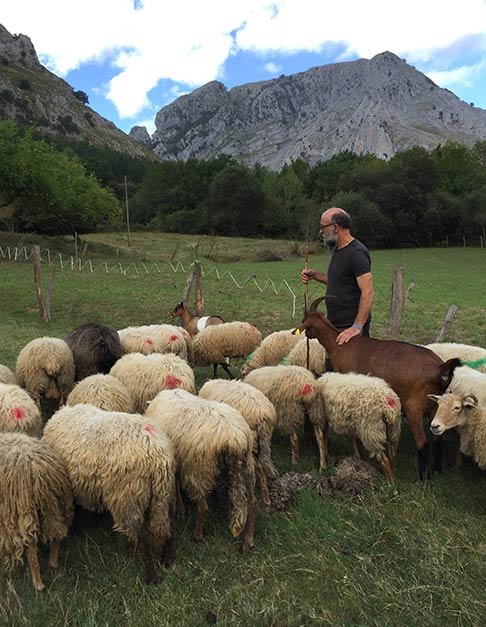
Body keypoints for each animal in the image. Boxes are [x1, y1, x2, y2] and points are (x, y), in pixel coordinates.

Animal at [0, 434, 73, 592]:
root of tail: (37, 470)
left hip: (24, 509)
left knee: (31, 547)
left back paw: (38, 584)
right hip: (55, 504)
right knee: (57, 533)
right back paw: (53, 563)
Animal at [43, 404, 177, 588]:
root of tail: (157, 456)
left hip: (129, 497)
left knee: (141, 539)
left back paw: (151, 576)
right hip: (164, 494)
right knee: (168, 525)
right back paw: (167, 559)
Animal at [145, 392, 256, 556]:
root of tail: (234, 438)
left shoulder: (179, 461)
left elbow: (176, 483)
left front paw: (180, 508)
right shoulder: (179, 459)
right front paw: (181, 508)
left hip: (198, 472)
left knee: (203, 507)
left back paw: (197, 535)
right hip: (247, 467)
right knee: (253, 503)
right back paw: (248, 540)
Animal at [198, 380, 278, 508]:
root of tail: (261, 415)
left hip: (251, 442)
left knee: (257, 467)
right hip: (263, 440)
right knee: (261, 464)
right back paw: (266, 498)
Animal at [296, 300, 460, 480]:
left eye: (304, 320)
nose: (306, 335)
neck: (338, 345)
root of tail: (440, 368)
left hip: (414, 408)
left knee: (422, 442)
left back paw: (424, 478)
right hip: (436, 405)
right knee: (437, 438)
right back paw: (437, 469)